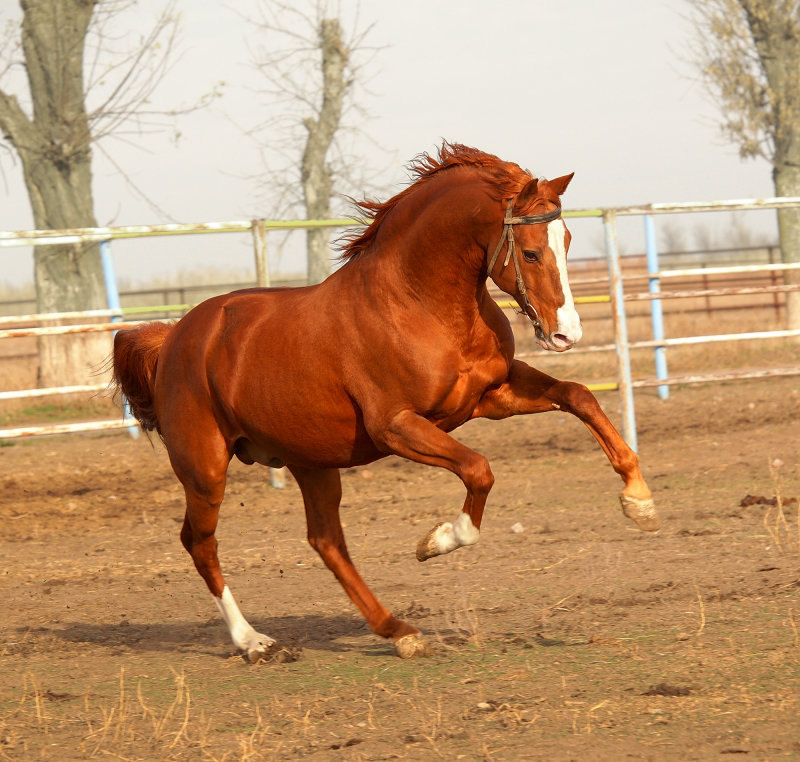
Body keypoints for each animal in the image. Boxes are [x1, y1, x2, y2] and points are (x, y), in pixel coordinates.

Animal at [114, 144, 664, 660]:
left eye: (566, 241)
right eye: (530, 253)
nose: (566, 334)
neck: (419, 304)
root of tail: (173, 337)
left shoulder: (491, 395)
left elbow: (578, 396)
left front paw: (639, 503)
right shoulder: (396, 426)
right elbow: (479, 470)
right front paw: (435, 542)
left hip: (312, 462)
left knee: (326, 541)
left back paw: (399, 632)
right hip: (206, 469)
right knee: (200, 543)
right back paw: (254, 642)